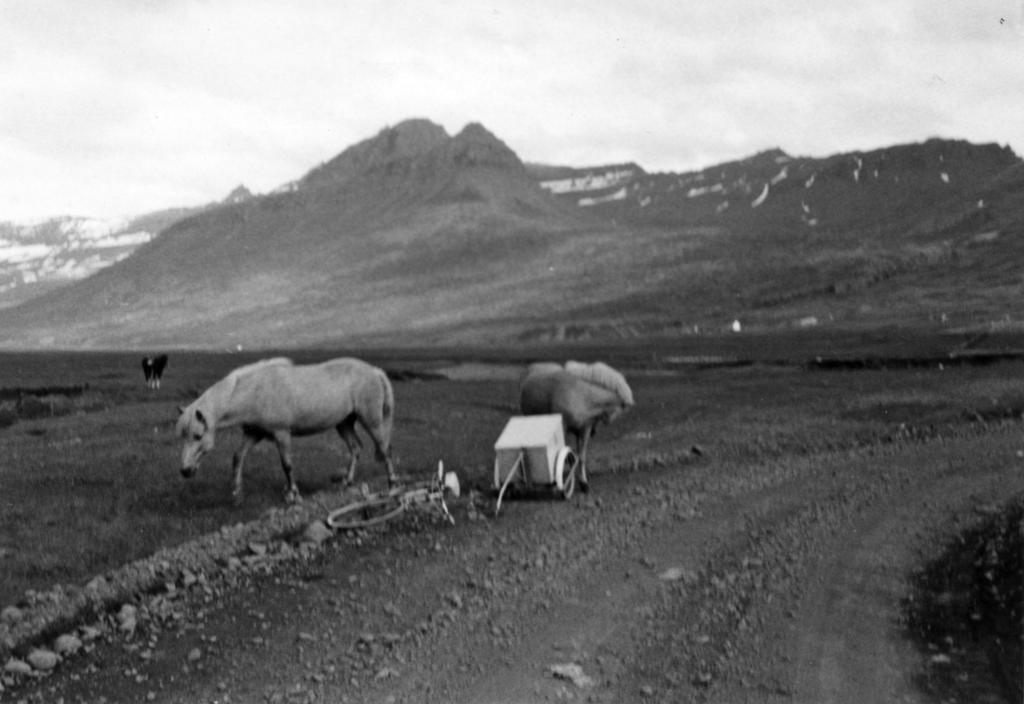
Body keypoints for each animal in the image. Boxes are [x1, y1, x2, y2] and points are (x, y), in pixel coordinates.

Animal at [175, 357, 397, 504]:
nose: (185, 471)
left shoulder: (281, 434)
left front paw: (293, 495)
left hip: (372, 421)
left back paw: (393, 483)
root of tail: (375, 371)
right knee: (355, 448)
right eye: (183, 436)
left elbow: (287, 465)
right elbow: (238, 457)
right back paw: (347, 482)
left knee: (384, 449)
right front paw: (236, 493)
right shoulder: (253, 434)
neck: (255, 392)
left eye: (198, 436)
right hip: (344, 424)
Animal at [519, 360, 634, 492]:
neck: (582, 396)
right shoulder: (563, 428)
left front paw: (583, 483)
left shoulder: (584, 430)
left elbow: (581, 457)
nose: (595, 431)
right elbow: (561, 455)